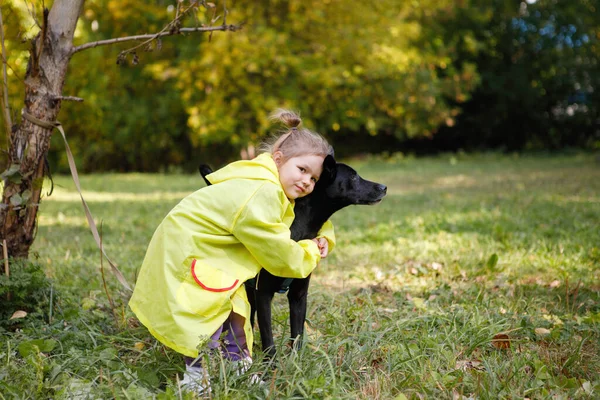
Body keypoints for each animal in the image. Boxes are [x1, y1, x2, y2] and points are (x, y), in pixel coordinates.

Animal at [199, 155, 386, 358]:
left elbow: (297, 334)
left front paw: (295, 361)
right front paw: (271, 364)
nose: (384, 187)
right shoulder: (263, 293)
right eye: (353, 176)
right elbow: (268, 337)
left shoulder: (298, 295)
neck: (300, 227)